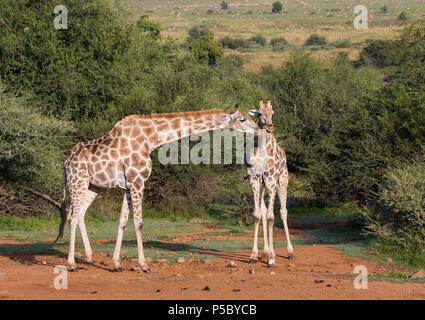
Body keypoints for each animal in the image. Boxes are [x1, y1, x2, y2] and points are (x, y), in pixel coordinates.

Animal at [55, 107, 255, 272]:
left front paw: (116, 263)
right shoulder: (138, 181)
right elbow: (138, 223)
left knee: (80, 214)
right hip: (77, 182)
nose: (257, 128)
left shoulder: (128, 185)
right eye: (243, 119)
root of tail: (66, 162)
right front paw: (144, 265)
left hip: (93, 186)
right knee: (72, 216)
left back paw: (88, 258)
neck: (149, 139)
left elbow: (122, 222)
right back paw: (72, 264)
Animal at [245, 100, 294, 264]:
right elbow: (257, 215)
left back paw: (289, 251)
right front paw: (254, 255)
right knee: (264, 211)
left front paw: (272, 256)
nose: (270, 126)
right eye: (259, 113)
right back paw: (265, 252)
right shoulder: (254, 180)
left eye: (272, 113)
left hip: (282, 181)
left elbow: (271, 217)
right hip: (263, 185)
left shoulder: (271, 179)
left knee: (283, 211)